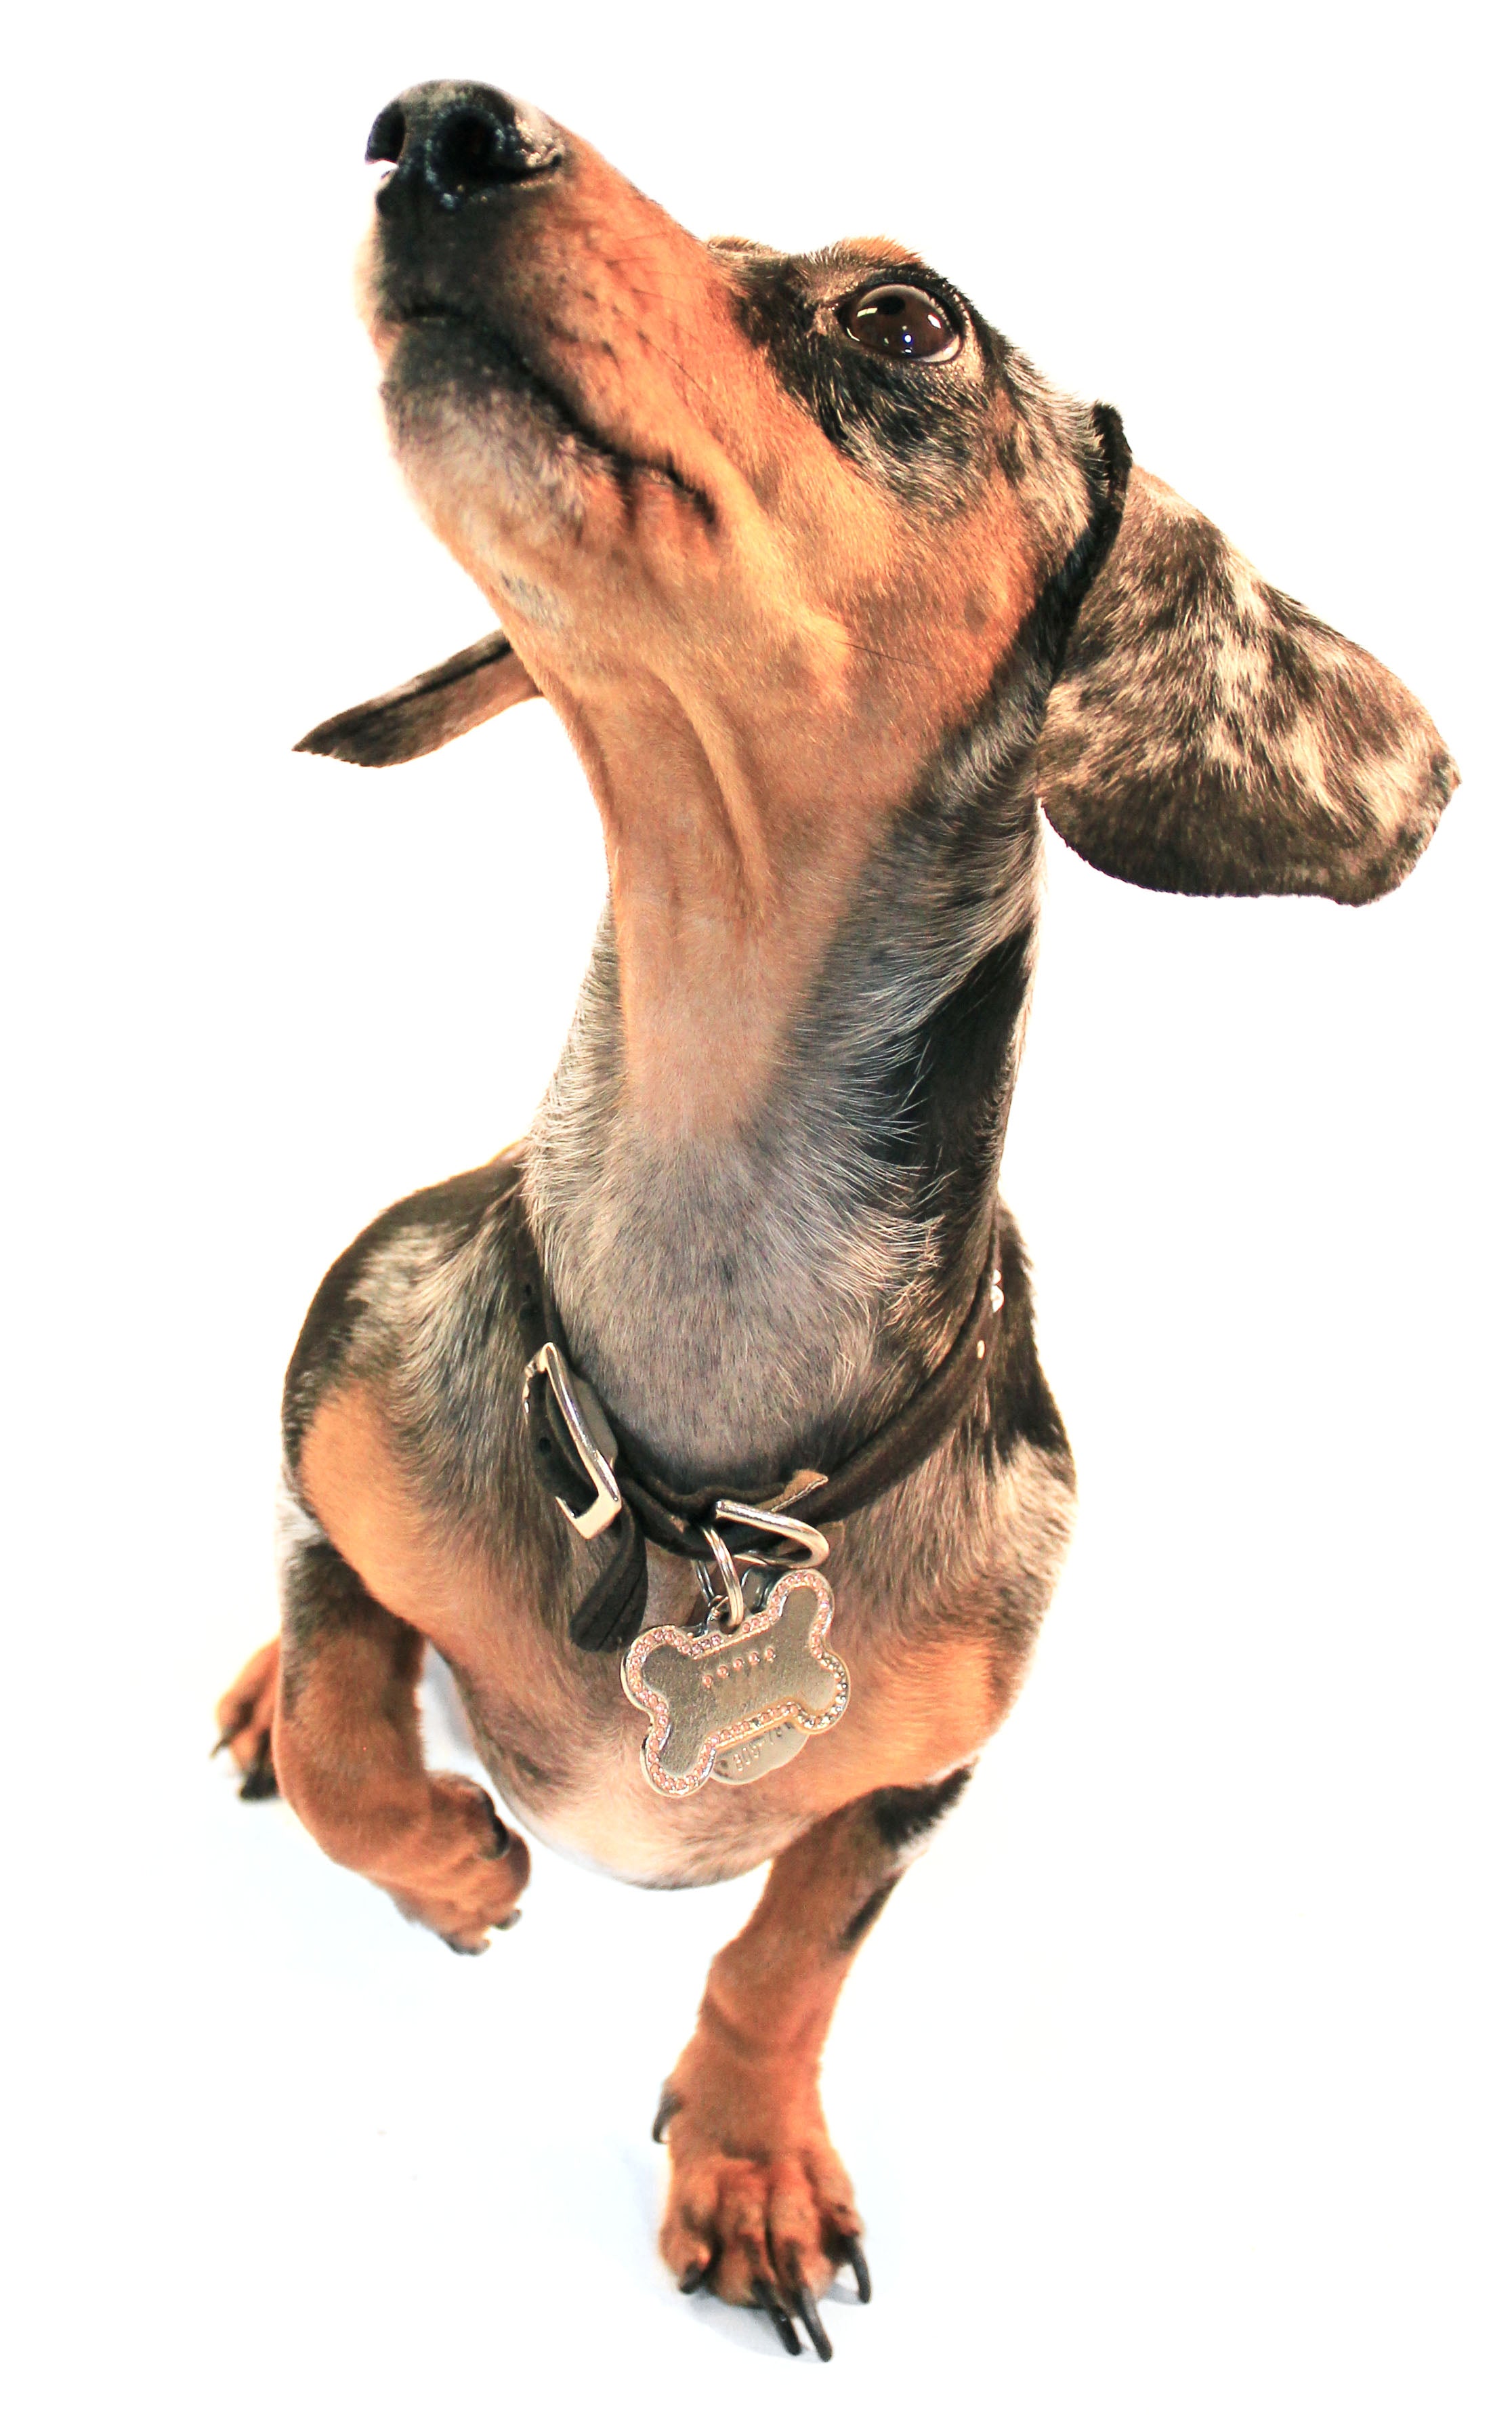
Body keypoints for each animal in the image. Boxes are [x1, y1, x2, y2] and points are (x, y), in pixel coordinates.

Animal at [212, 80, 1449, 2357]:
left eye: (904, 317)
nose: (436, 124)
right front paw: (450, 1859)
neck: (693, 1463)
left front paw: (750, 2161)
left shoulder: (918, 1779)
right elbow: (352, 1702)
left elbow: (787, 1952)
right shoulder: (335, 1412)